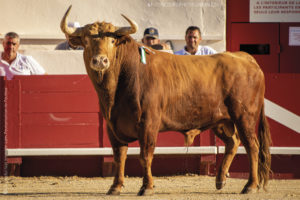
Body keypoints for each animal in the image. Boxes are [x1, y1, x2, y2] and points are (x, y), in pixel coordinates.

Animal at [61, 5, 272, 196]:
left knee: (252, 146)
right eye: (86, 40)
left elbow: (145, 155)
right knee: (233, 142)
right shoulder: (112, 126)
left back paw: (250, 185)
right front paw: (115, 187)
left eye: (112, 40)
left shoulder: (148, 123)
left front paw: (147, 187)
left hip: (244, 117)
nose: (100, 61)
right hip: (220, 120)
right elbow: (119, 156)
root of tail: (246, 59)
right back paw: (220, 180)